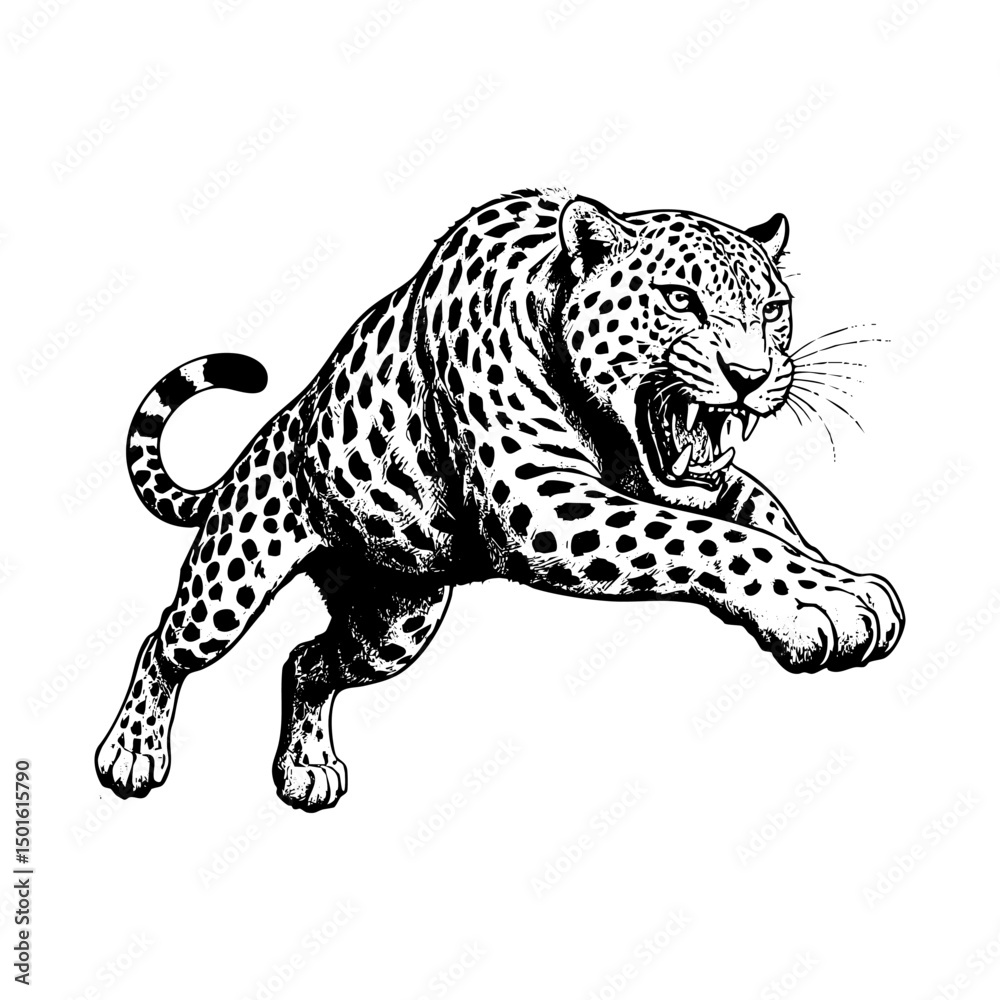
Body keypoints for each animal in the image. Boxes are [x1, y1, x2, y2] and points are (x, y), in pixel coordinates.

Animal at [95, 188, 904, 811]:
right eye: (681, 301)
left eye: (774, 309)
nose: (754, 374)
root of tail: (270, 434)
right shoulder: (542, 500)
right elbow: (708, 539)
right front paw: (818, 607)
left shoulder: (691, 483)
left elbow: (765, 519)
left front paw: (846, 587)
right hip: (233, 578)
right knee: (166, 643)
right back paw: (129, 755)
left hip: (394, 624)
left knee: (307, 659)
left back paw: (306, 771)